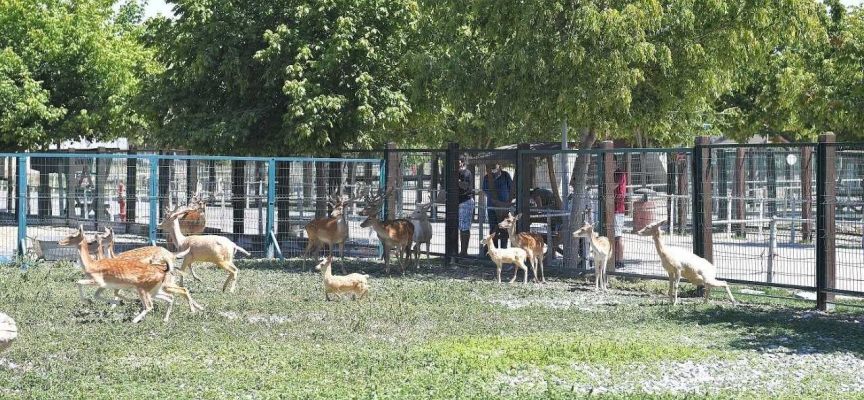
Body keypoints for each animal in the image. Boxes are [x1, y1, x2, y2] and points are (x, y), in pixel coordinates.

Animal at [59, 225, 204, 322]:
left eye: (72, 235)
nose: (59, 242)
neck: (92, 265)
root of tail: (171, 256)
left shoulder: (98, 281)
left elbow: (79, 282)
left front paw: (89, 300)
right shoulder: (104, 285)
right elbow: (98, 295)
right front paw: (116, 303)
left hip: (145, 288)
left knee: (156, 302)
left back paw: (135, 320)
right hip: (155, 289)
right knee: (172, 296)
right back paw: (168, 318)